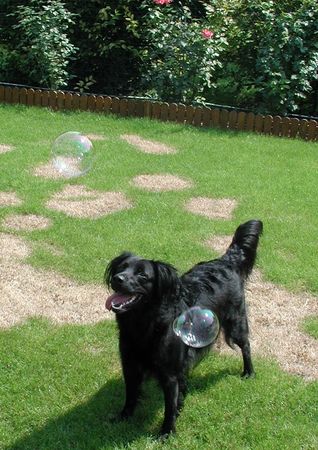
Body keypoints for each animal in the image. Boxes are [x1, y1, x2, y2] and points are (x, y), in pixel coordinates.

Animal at [105, 220, 262, 438]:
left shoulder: (170, 374)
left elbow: (169, 406)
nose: (117, 278)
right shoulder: (130, 364)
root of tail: (226, 261)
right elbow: (131, 395)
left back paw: (249, 372)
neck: (145, 323)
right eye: (121, 268)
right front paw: (124, 416)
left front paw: (166, 433)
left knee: (246, 345)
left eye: (142, 275)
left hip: (235, 322)